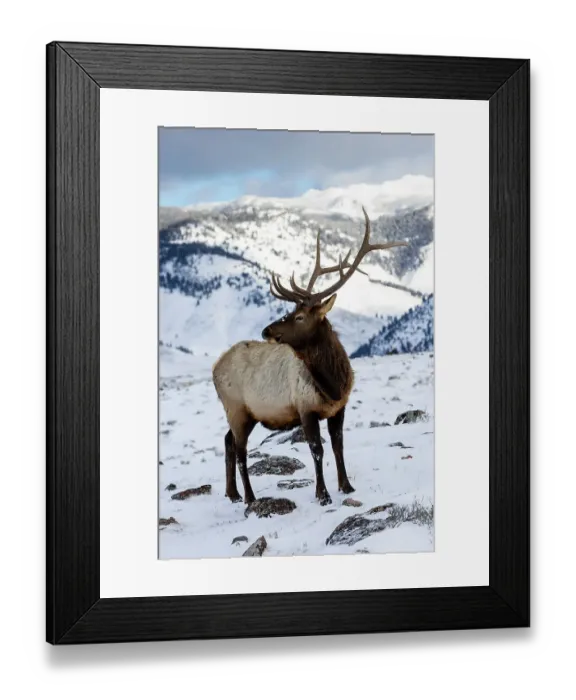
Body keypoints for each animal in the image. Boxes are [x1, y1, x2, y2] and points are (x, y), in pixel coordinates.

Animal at [212, 207, 407, 506]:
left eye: (300, 316)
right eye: (291, 312)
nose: (266, 330)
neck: (333, 384)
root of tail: (213, 368)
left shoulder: (339, 408)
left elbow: (338, 446)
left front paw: (346, 486)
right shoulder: (305, 409)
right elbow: (317, 449)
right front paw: (323, 494)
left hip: (245, 414)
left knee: (228, 441)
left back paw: (232, 493)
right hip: (236, 409)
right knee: (241, 450)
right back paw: (250, 498)